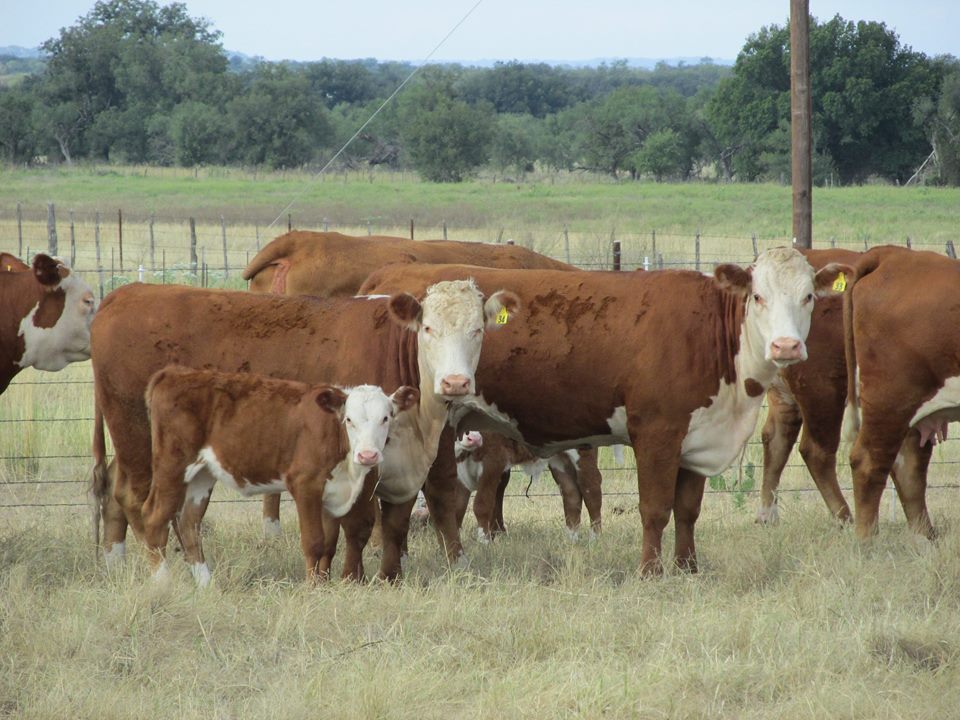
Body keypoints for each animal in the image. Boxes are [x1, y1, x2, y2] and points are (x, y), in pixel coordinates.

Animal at [92, 278, 516, 584]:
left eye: (478, 330)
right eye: (428, 328)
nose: (455, 382)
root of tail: (127, 292)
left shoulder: (401, 464)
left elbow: (398, 522)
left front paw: (390, 577)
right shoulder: (361, 463)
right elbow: (359, 525)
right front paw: (350, 578)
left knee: (123, 490)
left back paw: (117, 564)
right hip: (138, 438)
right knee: (136, 498)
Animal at [358, 250, 848, 576]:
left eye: (808, 296)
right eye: (759, 296)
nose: (786, 346)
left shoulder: (696, 436)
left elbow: (688, 510)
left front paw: (688, 568)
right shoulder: (656, 431)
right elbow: (655, 508)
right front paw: (650, 573)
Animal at [840, 246, 952, 540]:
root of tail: (892, 254)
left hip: (913, 408)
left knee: (908, 468)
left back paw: (925, 540)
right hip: (890, 400)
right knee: (869, 462)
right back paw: (866, 541)